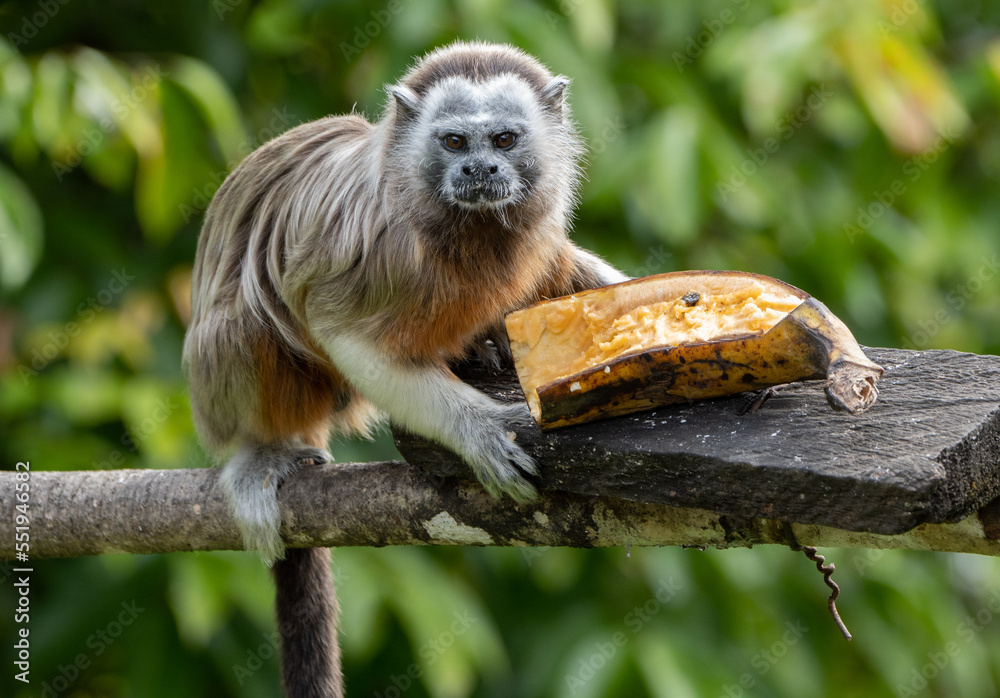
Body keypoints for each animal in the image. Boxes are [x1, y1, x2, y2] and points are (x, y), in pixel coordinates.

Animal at [182, 41, 627, 697]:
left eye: (502, 141)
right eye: (454, 143)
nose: (479, 171)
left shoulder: (536, 230)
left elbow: (568, 279)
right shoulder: (379, 248)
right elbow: (343, 334)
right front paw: (478, 432)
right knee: (243, 324)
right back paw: (257, 450)